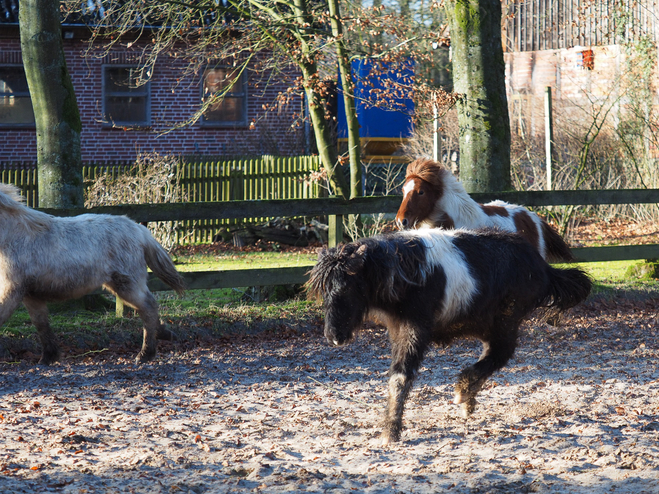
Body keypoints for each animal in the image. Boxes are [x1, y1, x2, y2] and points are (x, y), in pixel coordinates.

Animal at [0, 183, 186, 364]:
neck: (14, 238)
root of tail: (139, 230)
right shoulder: (31, 294)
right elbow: (41, 324)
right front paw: (48, 357)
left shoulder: (13, 290)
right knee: (148, 308)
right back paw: (164, 334)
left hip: (127, 284)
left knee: (148, 307)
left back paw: (145, 354)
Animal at [308, 228, 592, 444]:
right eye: (324, 291)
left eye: (349, 286)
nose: (334, 336)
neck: (404, 272)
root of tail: (542, 266)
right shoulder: (398, 331)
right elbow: (396, 377)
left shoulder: (414, 331)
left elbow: (401, 378)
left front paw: (390, 433)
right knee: (492, 356)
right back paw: (468, 397)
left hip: (506, 322)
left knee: (499, 355)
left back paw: (463, 392)